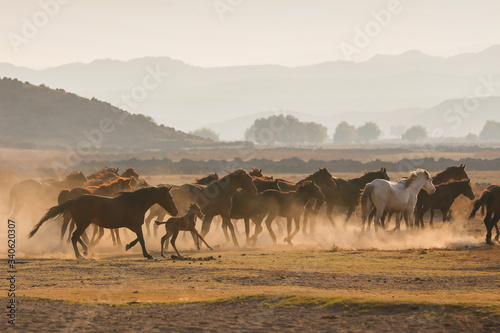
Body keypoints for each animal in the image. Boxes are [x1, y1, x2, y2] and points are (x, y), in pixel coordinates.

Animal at [28, 185, 178, 258]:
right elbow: (141, 239)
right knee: (74, 236)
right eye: (170, 197)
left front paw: (128, 245)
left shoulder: (132, 226)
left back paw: (85, 250)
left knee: (77, 236)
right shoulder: (135, 225)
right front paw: (148, 255)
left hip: (82, 223)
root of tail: (72, 200)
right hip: (83, 223)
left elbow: (137, 238)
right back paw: (80, 255)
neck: (135, 203)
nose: (175, 212)